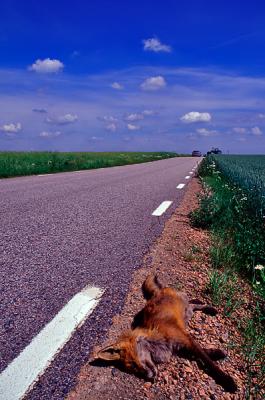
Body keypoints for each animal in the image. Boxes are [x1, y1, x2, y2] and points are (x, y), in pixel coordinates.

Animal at [96, 276, 236, 394]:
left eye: (134, 364)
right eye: (133, 370)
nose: (148, 377)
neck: (156, 334)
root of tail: (158, 292)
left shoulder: (185, 339)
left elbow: (208, 361)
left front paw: (227, 380)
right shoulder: (180, 346)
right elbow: (203, 353)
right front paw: (217, 353)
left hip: (185, 307)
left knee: (191, 301)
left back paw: (208, 307)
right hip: (187, 313)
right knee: (192, 305)